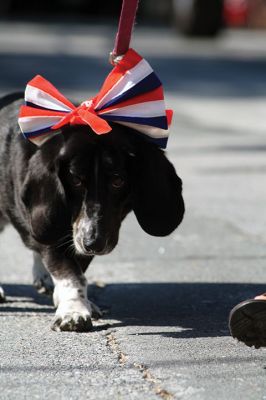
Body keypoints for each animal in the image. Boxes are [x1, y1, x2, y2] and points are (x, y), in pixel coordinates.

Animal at [0, 93, 185, 332]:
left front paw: (78, 302)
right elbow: (71, 273)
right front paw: (73, 311)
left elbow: (78, 268)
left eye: (118, 181)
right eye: (76, 180)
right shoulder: (56, 233)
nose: (93, 243)